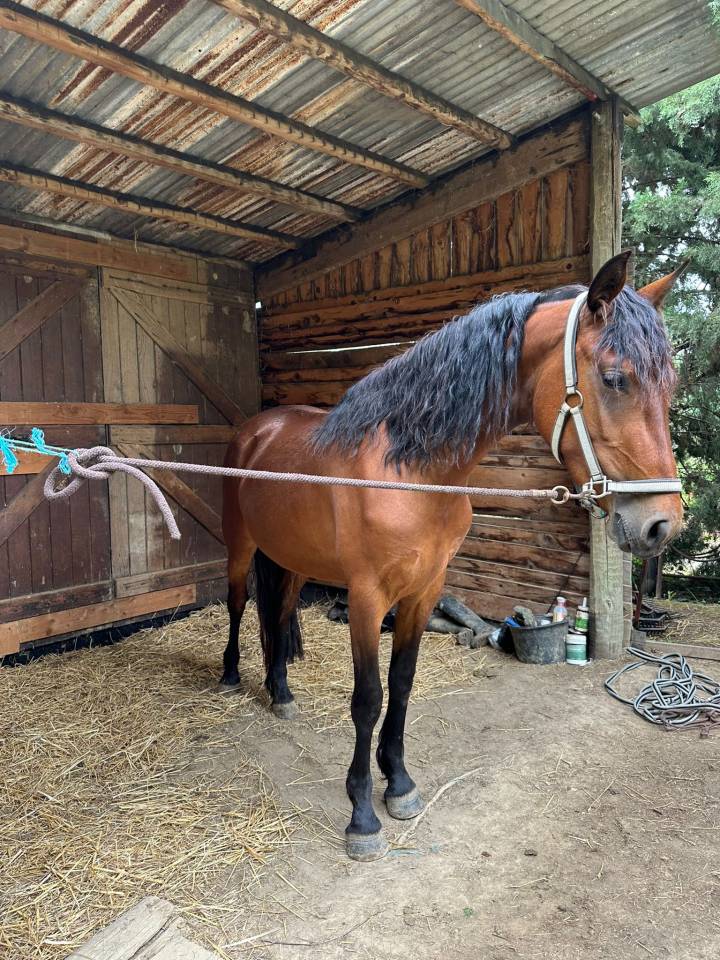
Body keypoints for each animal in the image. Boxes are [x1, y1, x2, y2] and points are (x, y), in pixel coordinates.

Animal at [220, 251, 684, 861]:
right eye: (614, 378)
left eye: (669, 386)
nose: (661, 524)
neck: (409, 470)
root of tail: (258, 428)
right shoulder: (366, 598)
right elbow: (368, 698)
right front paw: (362, 817)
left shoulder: (424, 591)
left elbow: (402, 683)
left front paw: (399, 785)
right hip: (240, 544)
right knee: (236, 604)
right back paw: (230, 676)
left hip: (294, 560)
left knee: (278, 614)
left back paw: (281, 693)